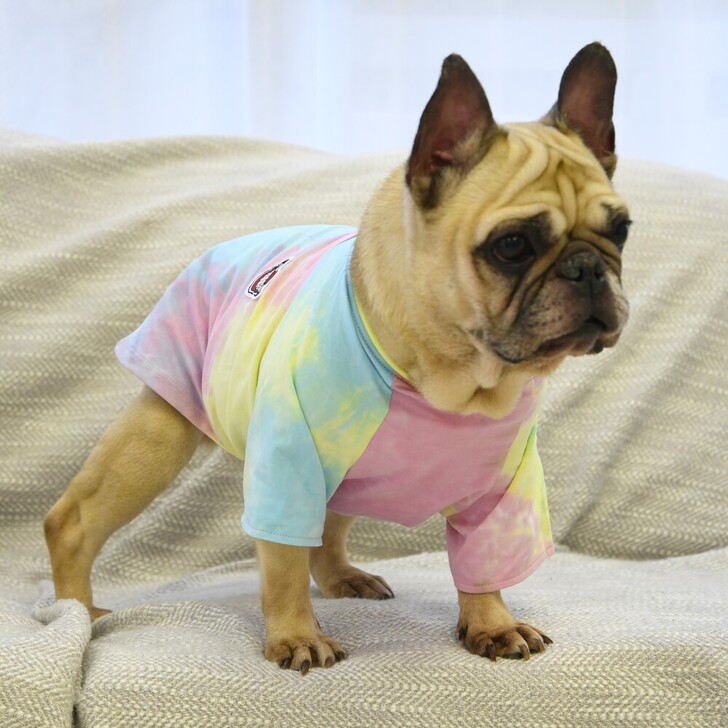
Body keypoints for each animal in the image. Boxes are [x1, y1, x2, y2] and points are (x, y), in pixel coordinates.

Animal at [45, 42, 630, 675]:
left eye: (621, 231)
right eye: (512, 245)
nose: (588, 269)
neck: (451, 377)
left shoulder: (503, 487)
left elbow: (482, 563)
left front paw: (491, 624)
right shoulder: (285, 465)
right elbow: (282, 568)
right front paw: (296, 635)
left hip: (348, 477)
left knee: (327, 532)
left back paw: (344, 578)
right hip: (159, 437)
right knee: (74, 522)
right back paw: (77, 611)